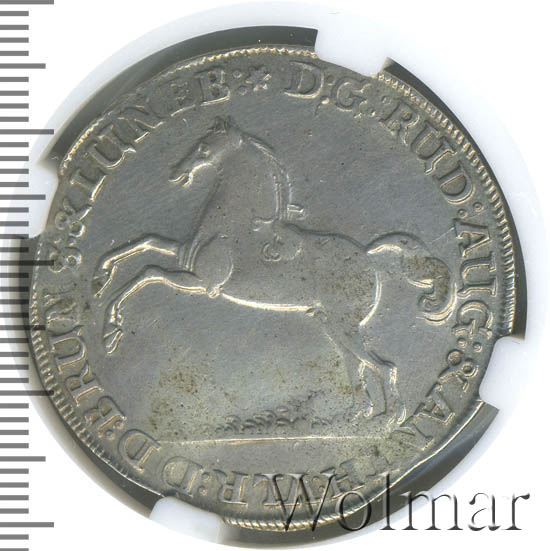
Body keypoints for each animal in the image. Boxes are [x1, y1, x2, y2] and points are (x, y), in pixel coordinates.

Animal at [91, 117, 455, 422]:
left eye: (205, 146)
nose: (176, 171)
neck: (231, 225)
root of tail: (368, 255)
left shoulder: (202, 282)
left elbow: (148, 272)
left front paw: (110, 329)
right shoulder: (183, 255)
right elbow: (147, 243)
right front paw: (100, 276)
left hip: (345, 324)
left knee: (384, 366)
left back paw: (391, 418)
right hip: (331, 325)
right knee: (357, 366)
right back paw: (354, 417)